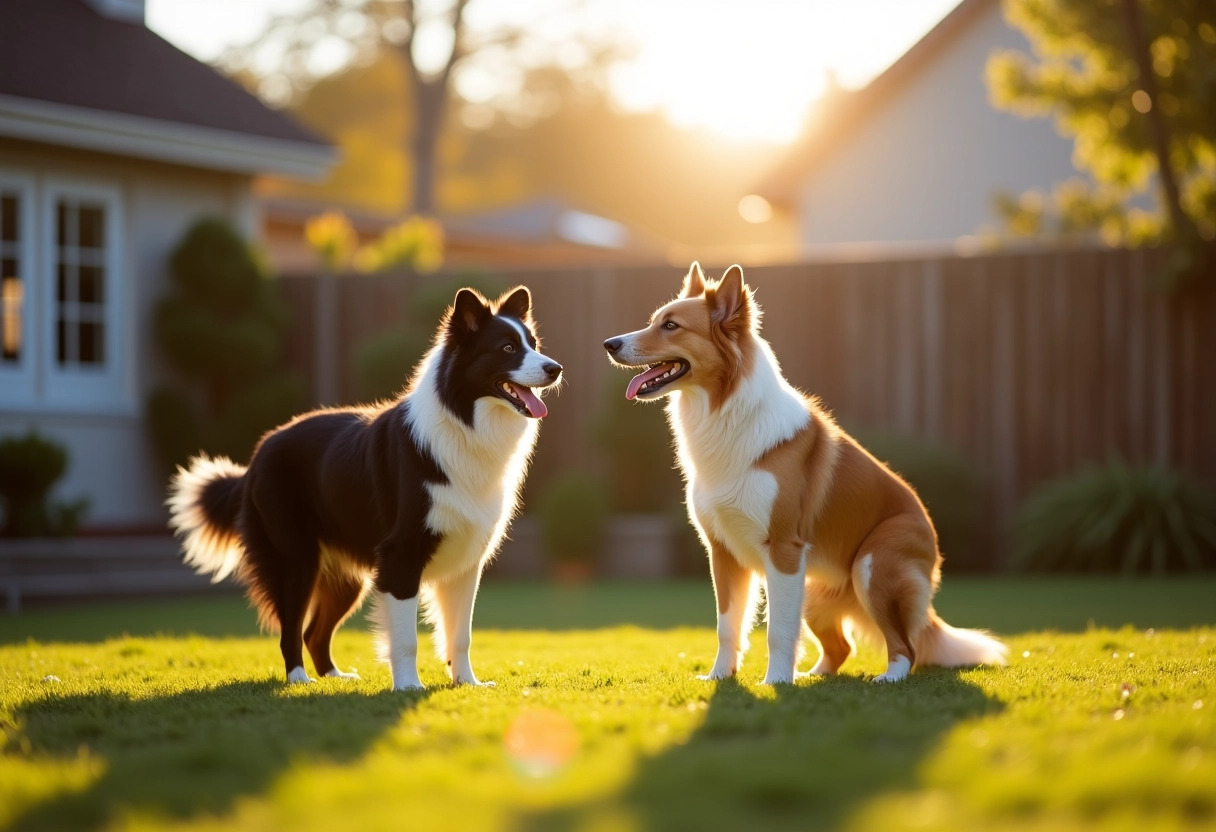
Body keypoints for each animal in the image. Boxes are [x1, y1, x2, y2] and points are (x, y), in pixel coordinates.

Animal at [169, 285, 561, 690]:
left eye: (533, 343)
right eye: (507, 348)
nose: (555, 369)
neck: (464, 423)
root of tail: (257, 456)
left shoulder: (466, 562)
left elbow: (461, 635)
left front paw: (467, 683)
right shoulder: (400, 556)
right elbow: (405, 638)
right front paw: (408, 687)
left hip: (343, 576)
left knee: (314, 632)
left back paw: (335, 677)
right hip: (295, 560)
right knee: (290, 630)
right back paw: (300, 680)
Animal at [600, 265, 1006, 681]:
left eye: (671, 326)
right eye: (655, 321)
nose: (609, 344)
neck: (725, 413)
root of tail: (932, 535)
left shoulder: (783, 550)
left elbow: (778, 629)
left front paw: (776, 682)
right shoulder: (723, 552)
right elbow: (727, 625)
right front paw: (720, 677)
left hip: (871, 569)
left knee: (905, 645)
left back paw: (887, 678)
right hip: (812, 589)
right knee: (842, 648)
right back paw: (814, 677)